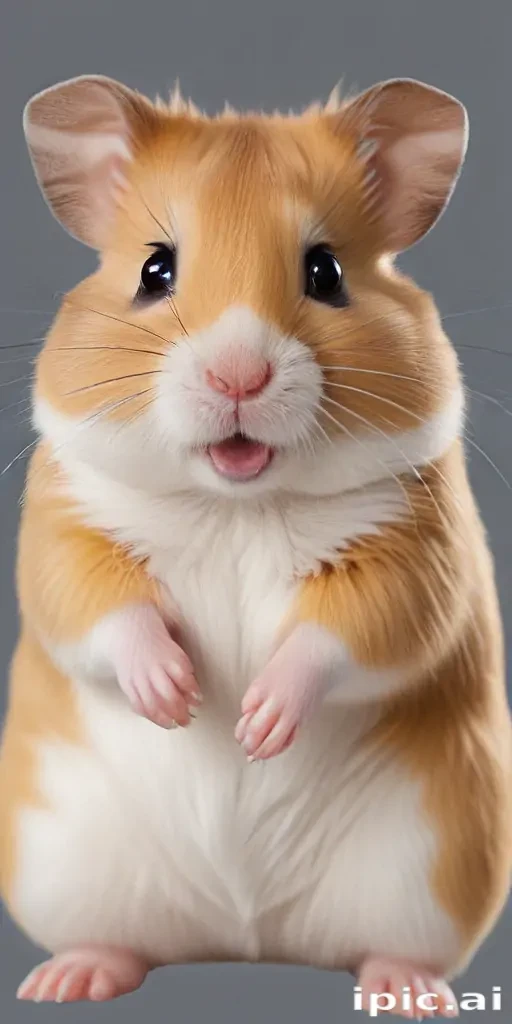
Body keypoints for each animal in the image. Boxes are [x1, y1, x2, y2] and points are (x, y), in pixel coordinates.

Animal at [0, 73, 510, 1015]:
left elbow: (344, 632)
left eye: (326, 271)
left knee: (392, 948)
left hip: (435, 863)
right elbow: (99, 607)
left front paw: (256, 726)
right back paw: (67, 980)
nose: (238, 376)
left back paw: (407, 992)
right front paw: (178, 699)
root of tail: (248, 935)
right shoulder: (64, 525)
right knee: (115, 938)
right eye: (155, 270)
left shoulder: (420, 552)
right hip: (63, 861)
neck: (236, 504)